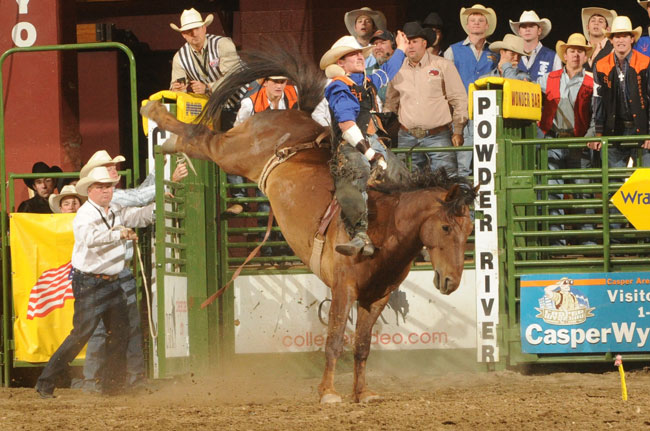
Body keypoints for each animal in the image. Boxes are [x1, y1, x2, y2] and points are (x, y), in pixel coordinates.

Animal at [140, 44, 476, 404]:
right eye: (446, 228)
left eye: (469, 231)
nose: (452, 281)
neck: (386, 226)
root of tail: (291, 114)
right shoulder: (343, 289)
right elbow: (334, 342)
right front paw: (328, 392)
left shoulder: (377, 298)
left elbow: (362, 347)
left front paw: (363, 392)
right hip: (234, 153)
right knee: (202, 138)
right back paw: (156, 115)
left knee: (201, 140)